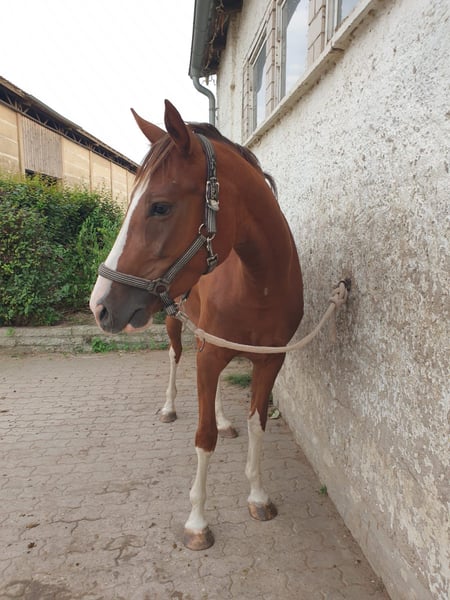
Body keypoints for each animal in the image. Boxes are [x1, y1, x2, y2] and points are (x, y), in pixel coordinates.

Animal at [89, 100, 303, 550]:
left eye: (160, 206)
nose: (99, 306)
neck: (258, 282)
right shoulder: (207, 356)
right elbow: (204, 438)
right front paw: (197, 522)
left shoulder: (269, 362)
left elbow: (257, 424)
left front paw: (258, 497)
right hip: (176, 325)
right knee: (174, 357)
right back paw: (170, 408)